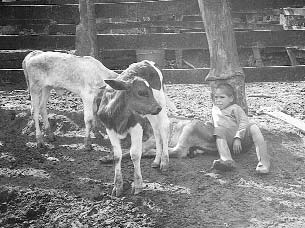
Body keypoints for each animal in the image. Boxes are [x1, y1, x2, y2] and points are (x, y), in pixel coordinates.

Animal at [97, 60, 170, 196]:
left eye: (150, 90)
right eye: (141, 92)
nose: (158, 107)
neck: (119, 115)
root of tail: (148, 62)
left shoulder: (137, 125)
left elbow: (135, 154)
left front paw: (138, 185)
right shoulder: (110, 128)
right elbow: (117, 156)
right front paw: (118, 186)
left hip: (159, 100)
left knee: (164, 127)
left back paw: (164, 162)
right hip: (149, 112)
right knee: (156, 130)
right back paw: (156, 161)